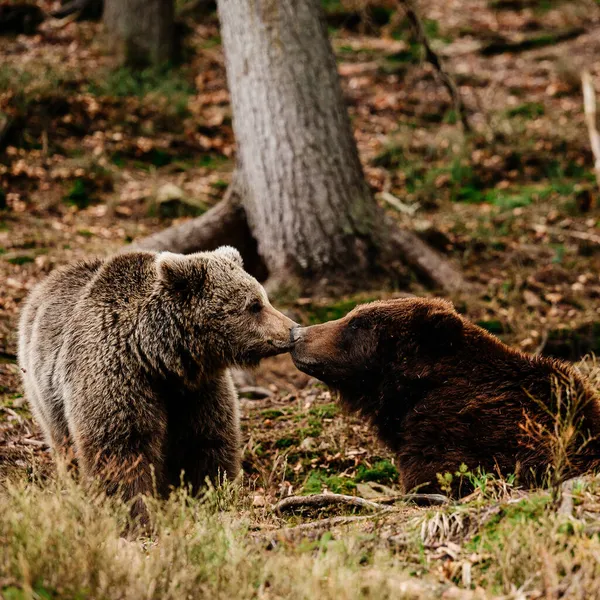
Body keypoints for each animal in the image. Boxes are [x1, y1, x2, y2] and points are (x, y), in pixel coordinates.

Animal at [19, 246, 296, 516]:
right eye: (254, 305)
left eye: (263, 298)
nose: (292, 329)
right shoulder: (116, 374)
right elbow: (122, 447)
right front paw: (134, 510)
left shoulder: (198, 390)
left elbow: (206, 440)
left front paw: (210, 494)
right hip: (44, 390)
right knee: (63, 441)